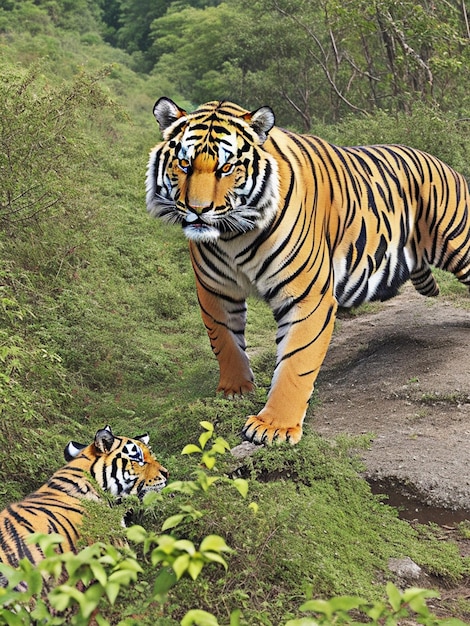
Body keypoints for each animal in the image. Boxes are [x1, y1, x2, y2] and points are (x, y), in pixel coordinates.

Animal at [147, 98, 470, 444]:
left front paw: (274, 426)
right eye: (184, 164)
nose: (198, 210)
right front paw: (236, 390)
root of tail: (442, 163)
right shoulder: (215, 291)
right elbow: (225, 340)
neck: (232, 236)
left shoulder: (306, 297)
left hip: (459, 242)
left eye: (227, 168)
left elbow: (296, 362)